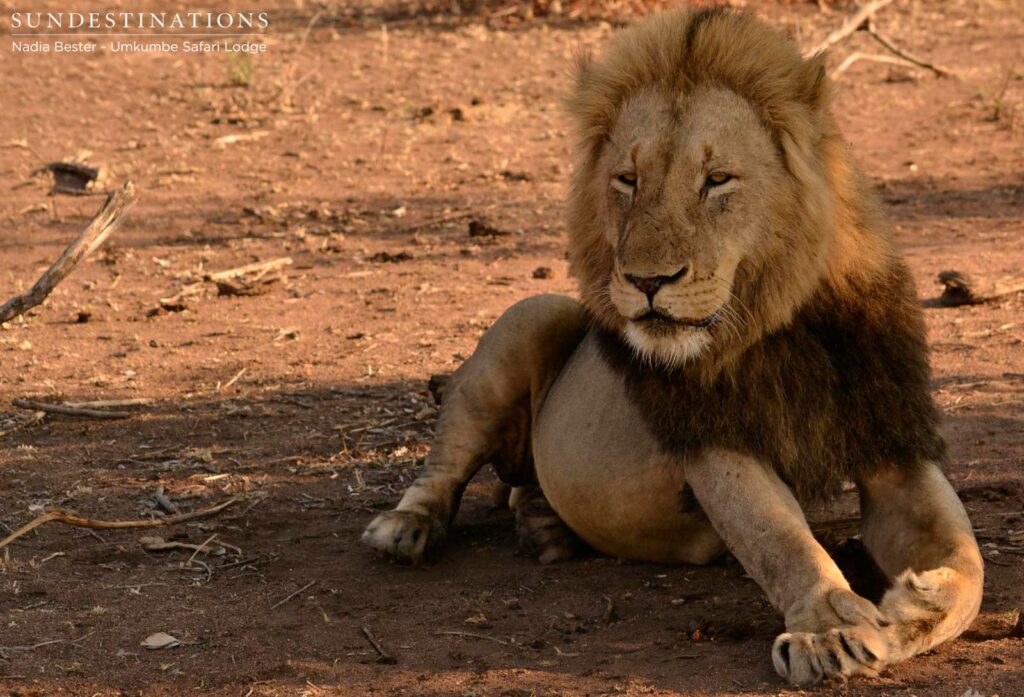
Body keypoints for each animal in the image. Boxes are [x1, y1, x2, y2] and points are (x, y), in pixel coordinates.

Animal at [363, 8, 983, 685]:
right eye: (628, 180)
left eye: (716, 181)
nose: (647, 281)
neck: (784, 323)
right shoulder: (711, 436)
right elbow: (781, 539)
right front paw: (830, 628)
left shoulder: (890, 437)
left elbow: (969, 562)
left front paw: (913, 608)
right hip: (533, 315)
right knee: (446, 461)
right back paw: (406, 528)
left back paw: (542, 523)